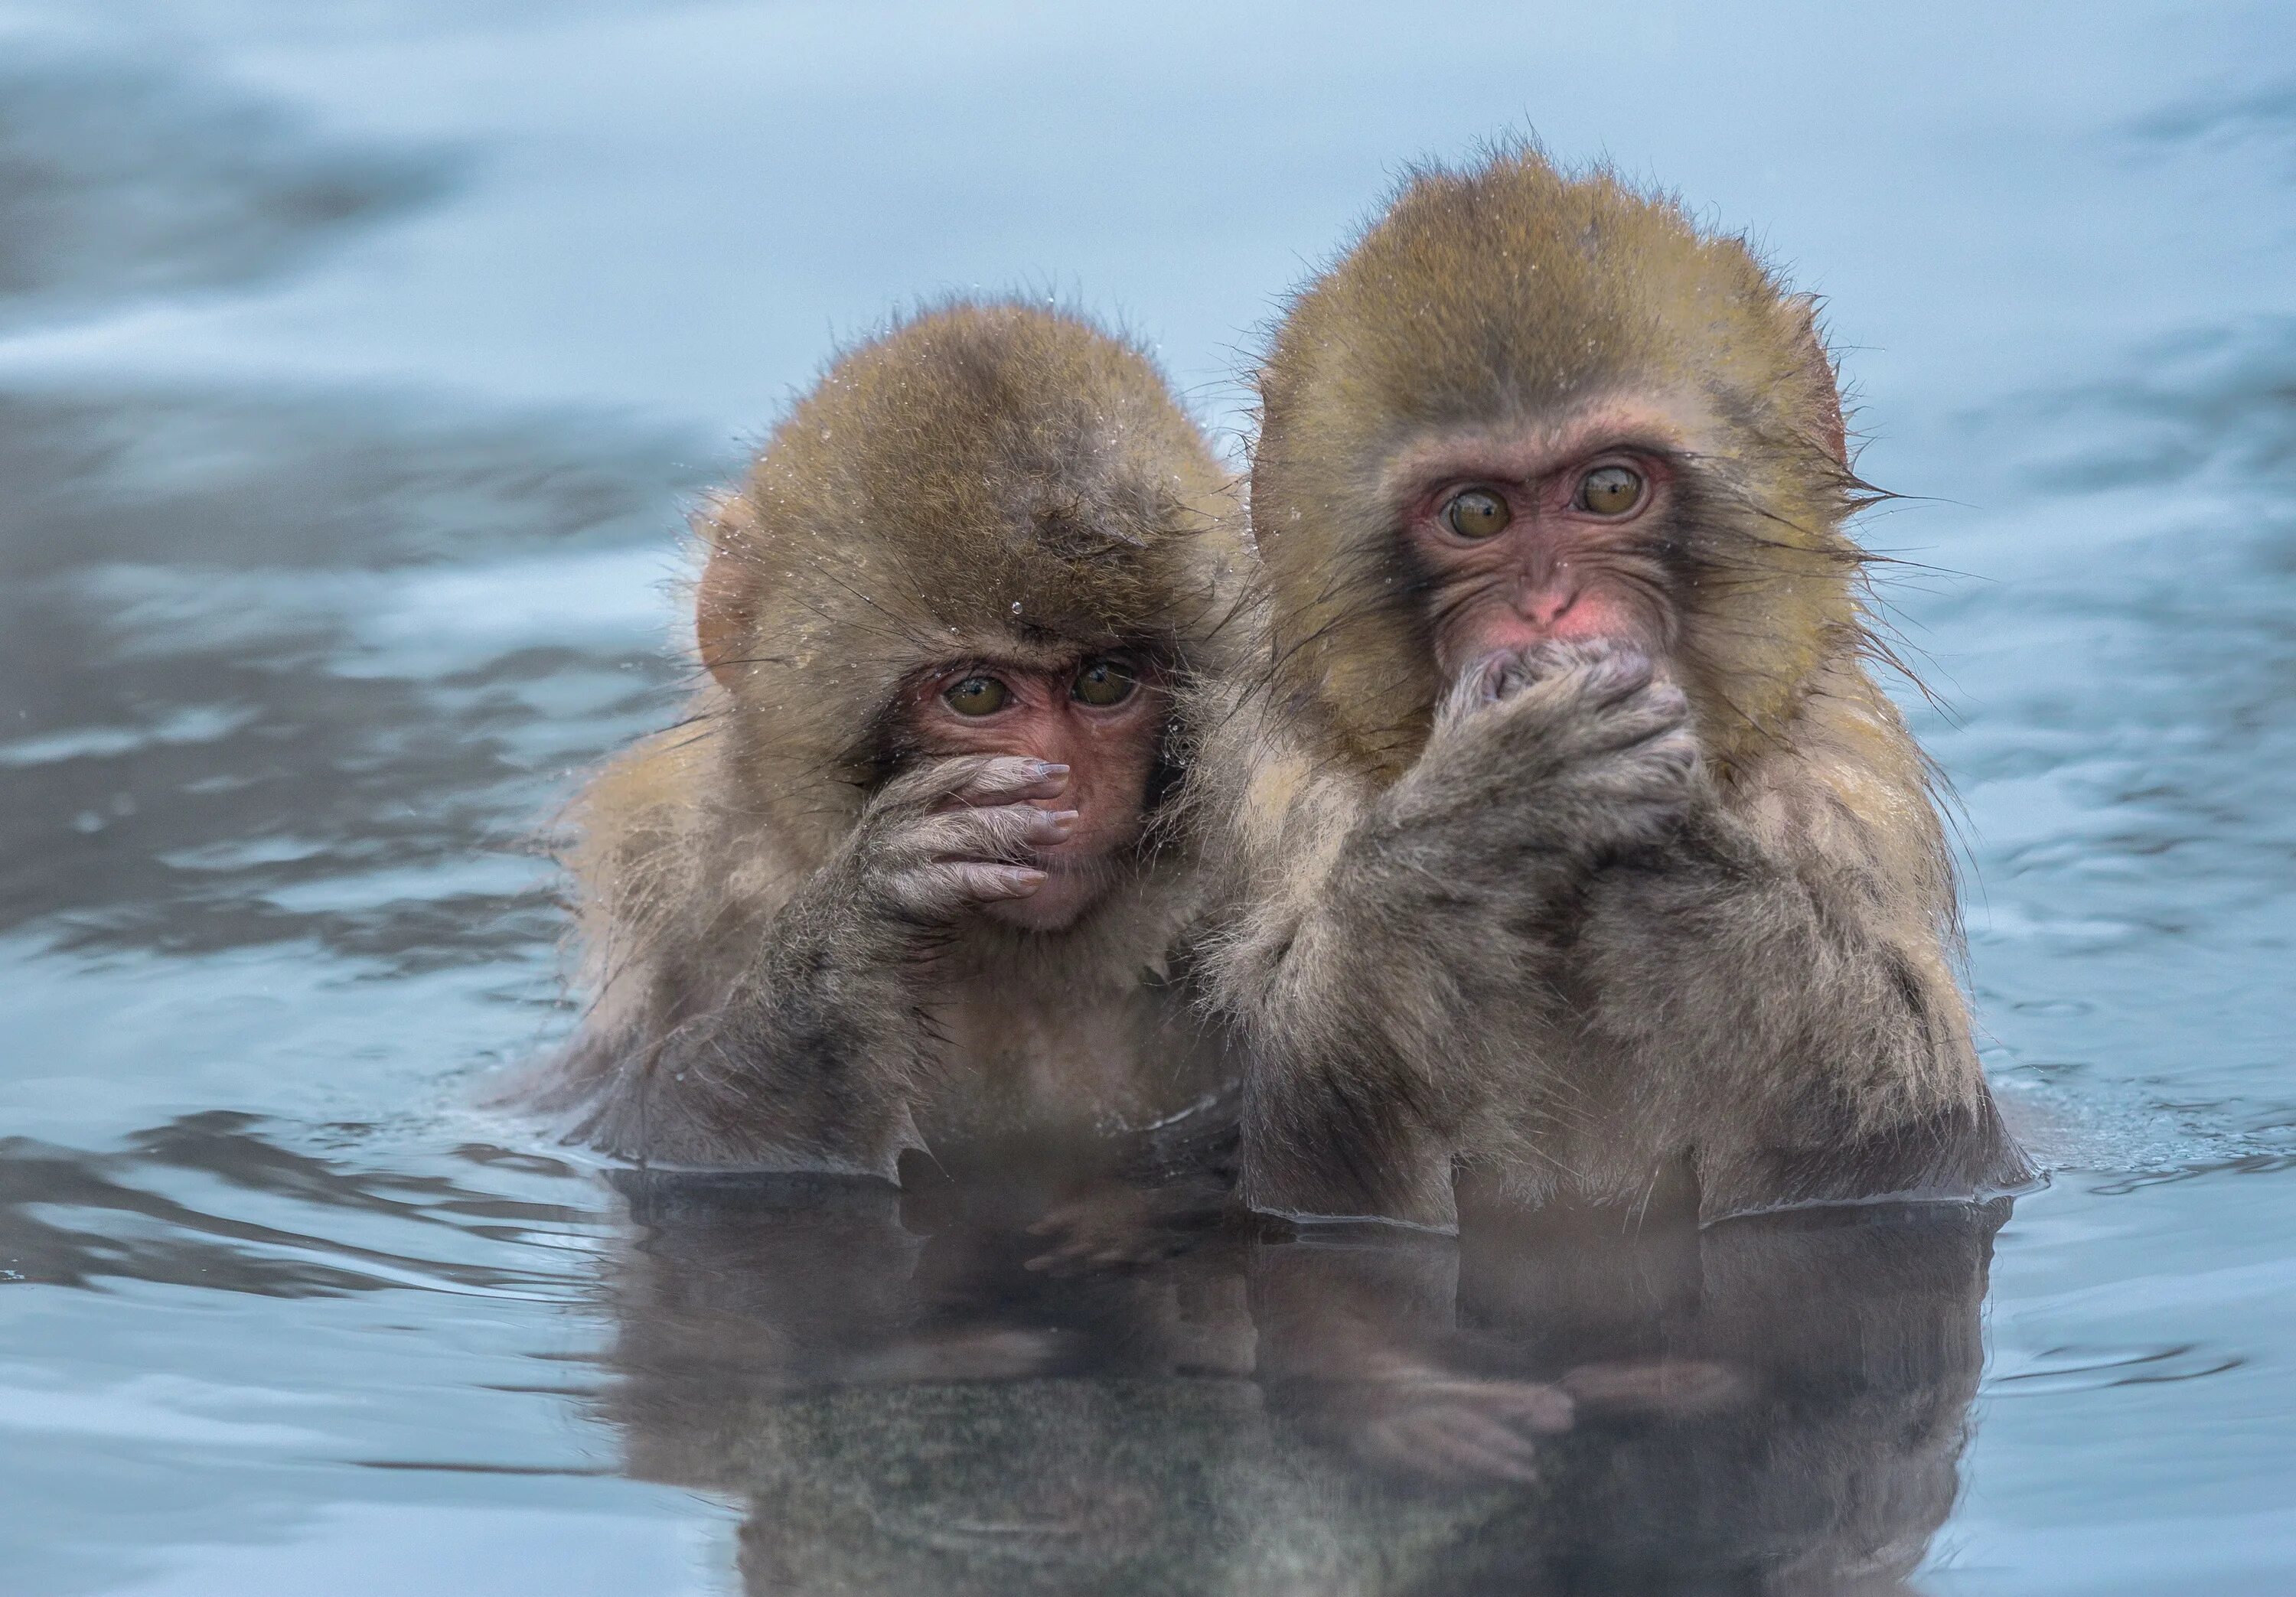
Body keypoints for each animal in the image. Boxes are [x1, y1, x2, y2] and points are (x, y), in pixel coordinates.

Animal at [1203, 148, 2030, 1230]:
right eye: (1475, 513)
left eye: (1607, 489)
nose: (1552, 612)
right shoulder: (1292, 798)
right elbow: (1320, 1158)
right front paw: (1489, 808)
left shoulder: (1841, 782)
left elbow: (1903, 1151)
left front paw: (1676, 850)